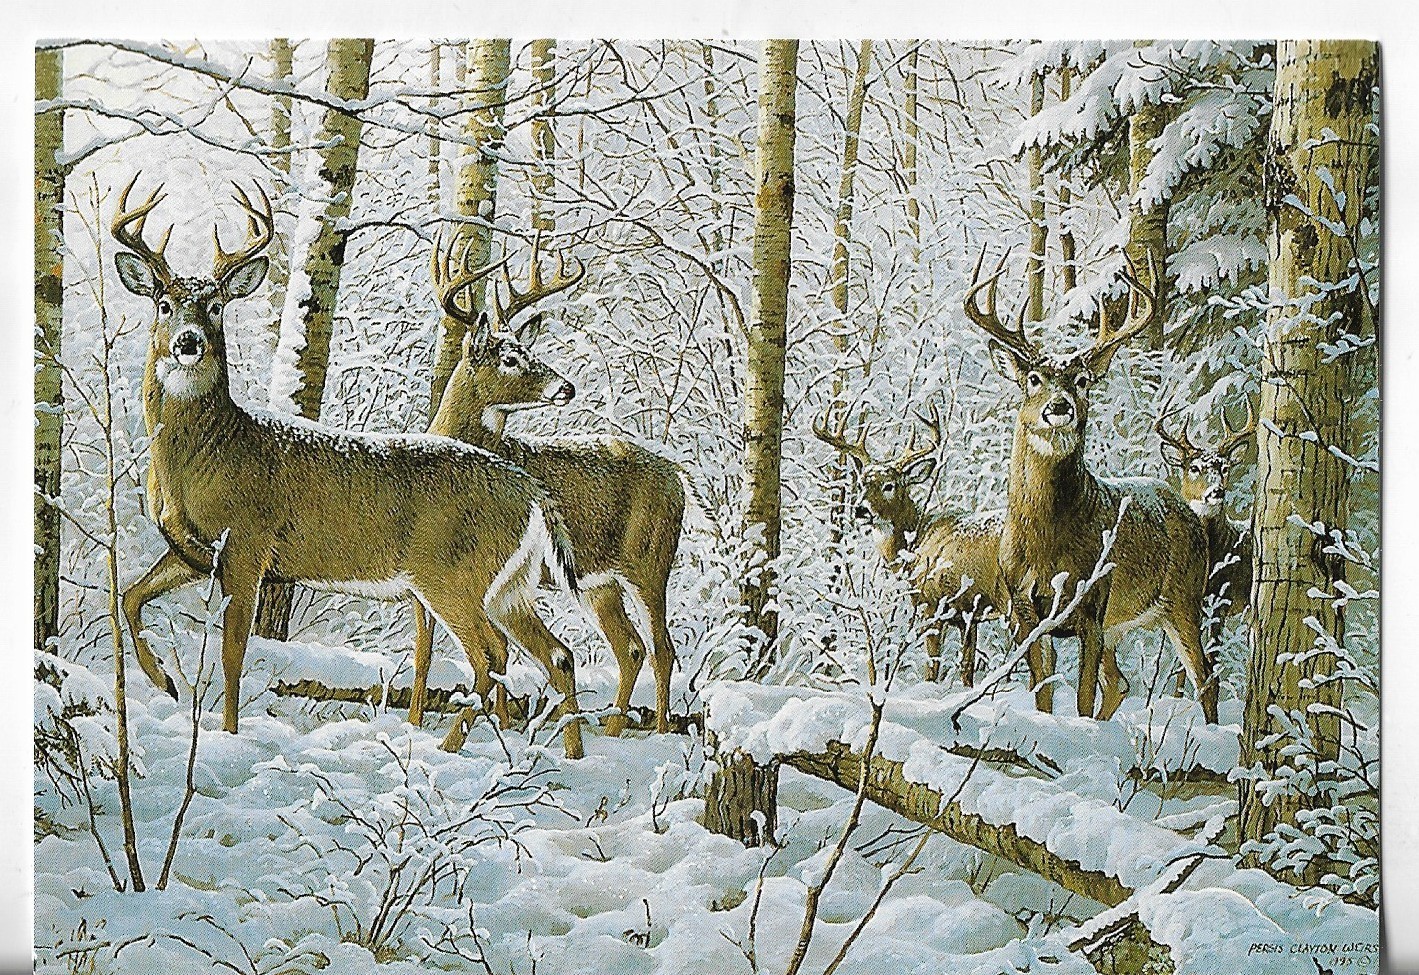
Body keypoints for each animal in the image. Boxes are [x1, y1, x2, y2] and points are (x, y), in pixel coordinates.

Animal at [110, 176, 586, 759]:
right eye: (163, 303)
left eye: (217, 306)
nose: (188, 341)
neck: (207, 458)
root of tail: (530, 490)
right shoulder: (193, 551)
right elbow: (130, 597)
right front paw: (166, 682)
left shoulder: (246, 544)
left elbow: (233, 653)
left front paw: (228, 736)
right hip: (507, 585)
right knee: (554, 652)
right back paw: (564, 755)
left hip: (451, 573)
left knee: (492, 654)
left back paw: (447, 749)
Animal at [408, 231, 686, 737]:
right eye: (511, 357)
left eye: (529, 350)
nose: (567, 388)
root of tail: (677, 478)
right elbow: (424, 654)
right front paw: (420, 724)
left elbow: (498, 652)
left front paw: (495, 724)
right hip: (600, 582)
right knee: (631, 647)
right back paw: (612, 731)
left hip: (649, 561)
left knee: (662, 648)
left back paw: (656, 732)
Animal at [813, 401, 1005, 686]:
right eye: (862, 483)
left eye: (889, 485)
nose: (861, 510)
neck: (915, 542)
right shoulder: (967, 616)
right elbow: (966, 669)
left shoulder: (931, 604)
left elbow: (932, 668)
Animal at [963, 250, 1219, 724]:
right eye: (1034, 378)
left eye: (1081, 380)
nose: (1059, 407)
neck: (1047, 542)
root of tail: (1189, 512)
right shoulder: (1026, 610)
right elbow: (1043, 693)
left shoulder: (1093, 604)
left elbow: (1081, 700)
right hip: (1124, 624)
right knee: (1121, 684)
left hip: (1183, 599)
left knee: (1205, 678)